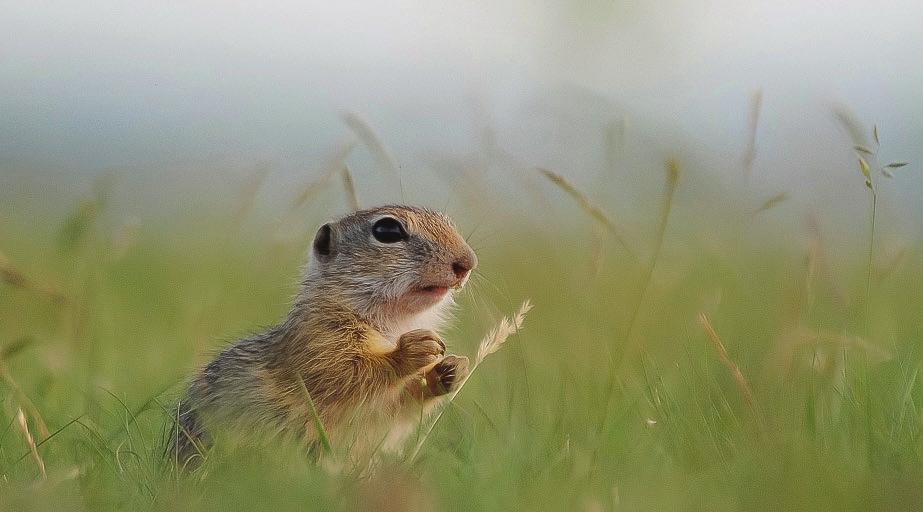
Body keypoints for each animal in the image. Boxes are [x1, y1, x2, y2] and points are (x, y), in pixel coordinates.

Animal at [170, 205, 480, 468]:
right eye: (387, 230)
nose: (467, 262)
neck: (391, 325)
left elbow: (396, 410)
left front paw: (451, 370)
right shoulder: (317, 339)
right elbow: (346, 373)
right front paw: (412, 350)